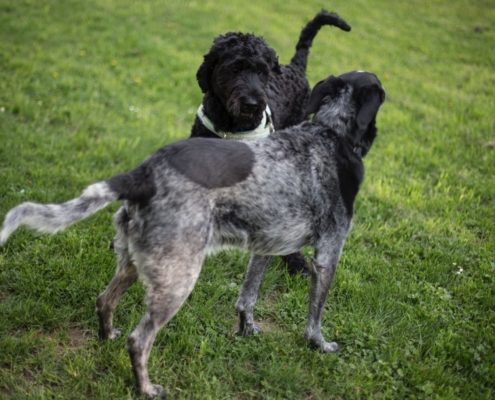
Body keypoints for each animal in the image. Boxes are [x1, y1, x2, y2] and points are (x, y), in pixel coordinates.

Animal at [0, 71, 388, 396]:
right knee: (139, 340)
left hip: (135, 263)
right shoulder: (328, 254)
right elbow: (314, 317)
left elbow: (247, 297)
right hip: (179, 279)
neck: (331, 134)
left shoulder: (266, 246)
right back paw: (146, 389)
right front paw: (320, 346)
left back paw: (106, 338)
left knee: (104, 301)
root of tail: (143, 173)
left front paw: (247, 331)